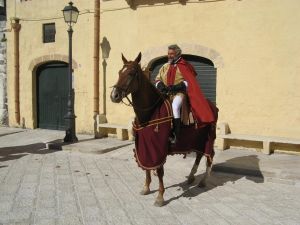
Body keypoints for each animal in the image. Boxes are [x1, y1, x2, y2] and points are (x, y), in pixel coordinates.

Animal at [110, 52, 218, 207]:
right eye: (120, 72)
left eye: (131, 73)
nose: (114, 95)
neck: (150, 112)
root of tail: (212, 106)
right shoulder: (144, 146)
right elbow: (147, 167)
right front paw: (146, 187)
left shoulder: (158, 147)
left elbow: (160, 171)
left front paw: (160, 197)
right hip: (198, 139)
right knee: (199, 155)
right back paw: (191, 176)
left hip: (209, 138)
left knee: (209, 156)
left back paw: (203, 181)